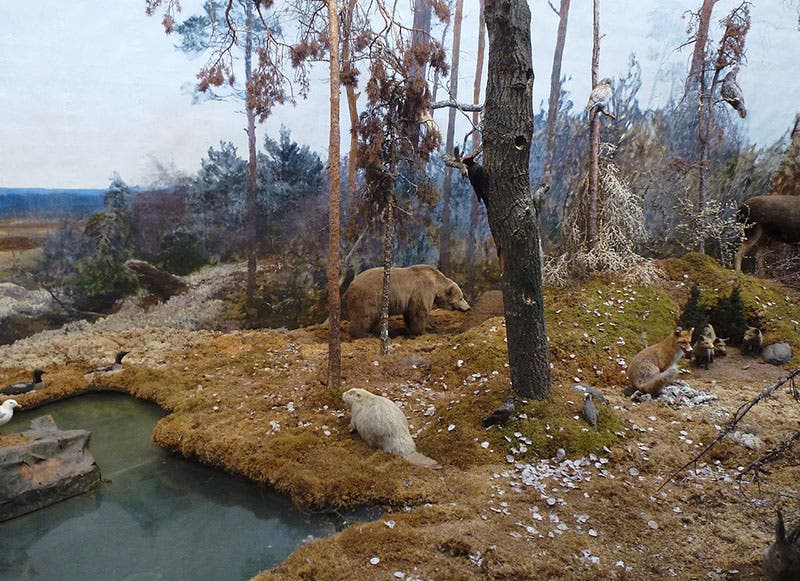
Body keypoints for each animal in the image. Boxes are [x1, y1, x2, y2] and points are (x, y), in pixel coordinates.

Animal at [341, 265, 470, 338]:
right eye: (461, 298)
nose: (468, 307)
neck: (435, 282)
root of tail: (350, 287)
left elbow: (410, 314)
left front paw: (413, 330)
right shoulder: (422, 289)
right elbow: (419, 312)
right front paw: (423, 331)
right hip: (369, 297)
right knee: (364, 316)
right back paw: (362, 334)